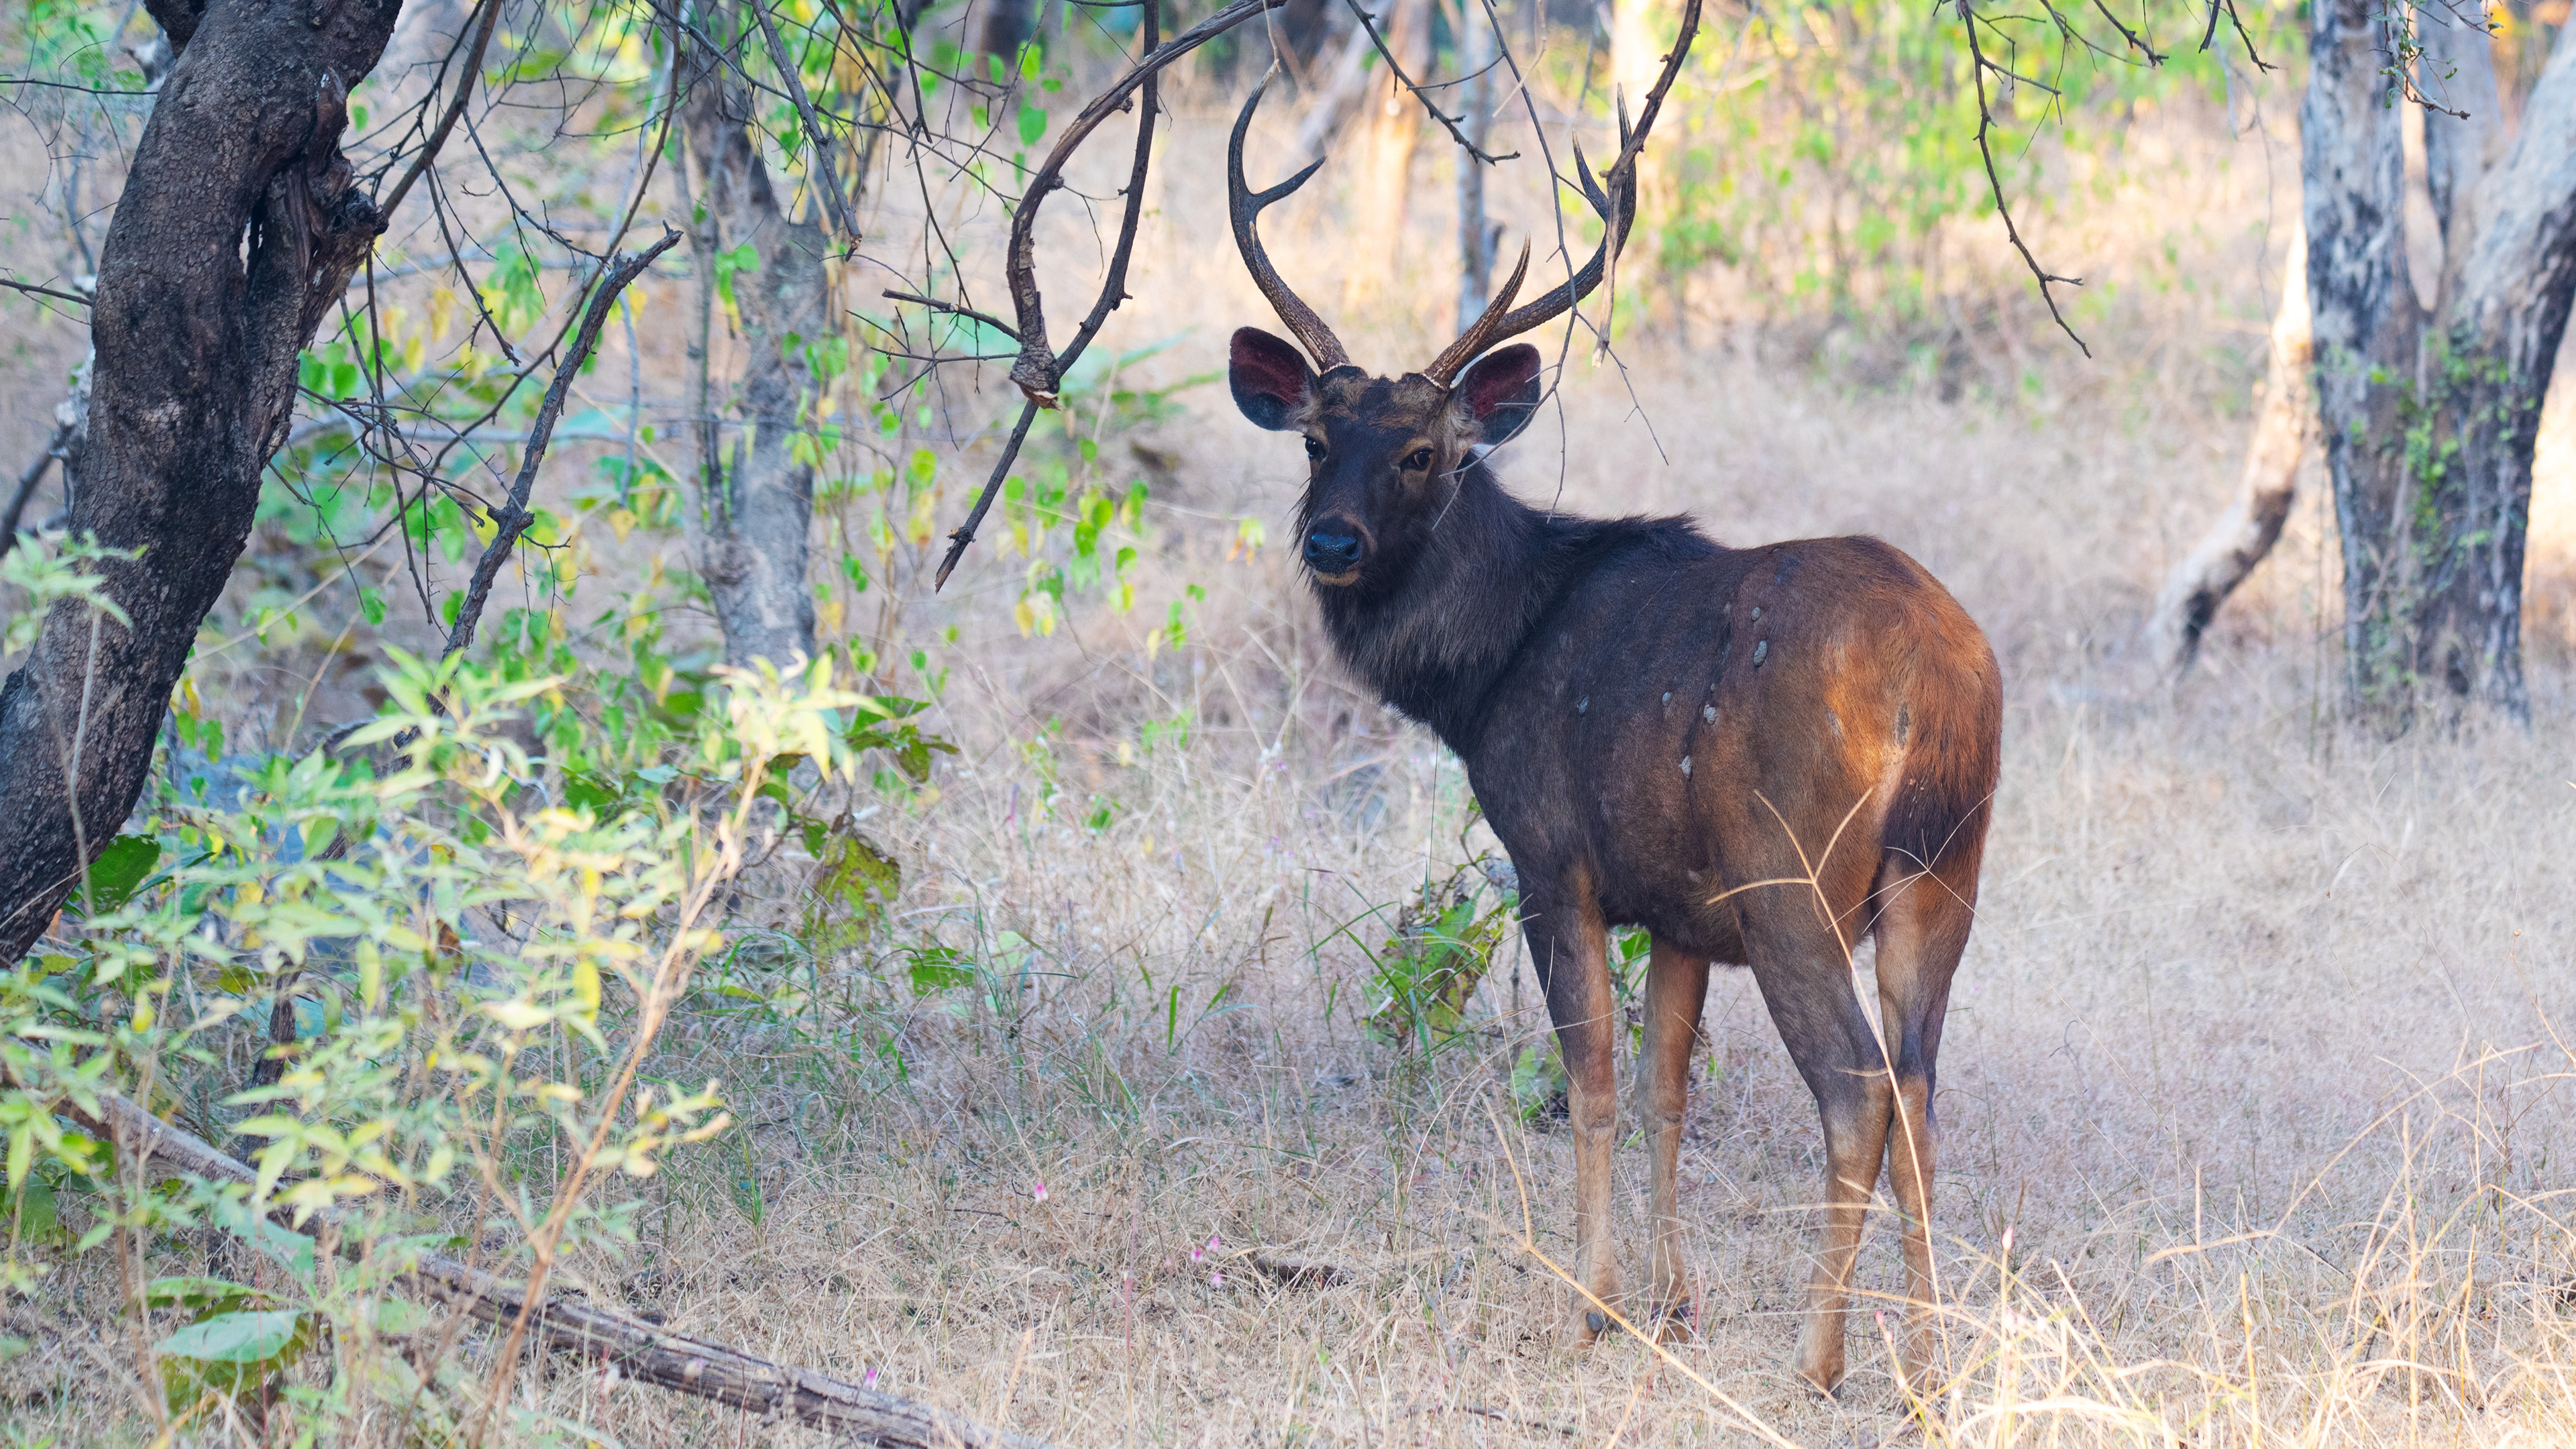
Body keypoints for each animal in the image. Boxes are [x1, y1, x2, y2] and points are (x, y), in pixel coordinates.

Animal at [1222, 81, 2003, 1393]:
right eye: (1317, 442)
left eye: (1423, 453)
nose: (1330, 540)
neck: (1491, 668)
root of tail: (1938, 689)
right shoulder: (1681, 907)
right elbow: (1663, 1090)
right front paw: (1672, 1302)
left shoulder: (1555, 857)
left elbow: (1587, 1080)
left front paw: (1589, 1303)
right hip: (1943, 876)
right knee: (1923, 1096)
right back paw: (1930, 1364)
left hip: (1794, 878)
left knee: (1858, 1092)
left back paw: (1821, 1359)